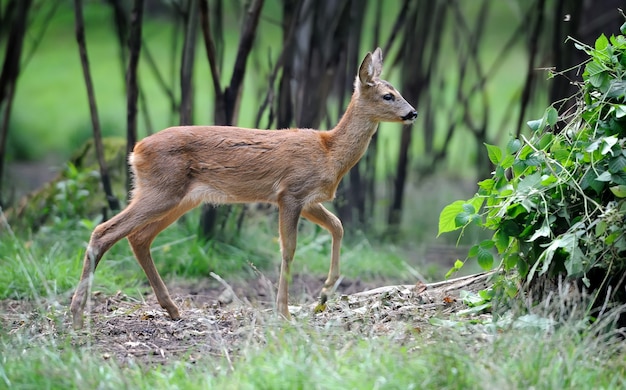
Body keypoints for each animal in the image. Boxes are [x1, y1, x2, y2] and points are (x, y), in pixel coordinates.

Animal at [68, 48, 414, 330]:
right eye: (388, 95)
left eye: (399, 92)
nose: (413, 113)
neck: (329, 152)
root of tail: (135, 150)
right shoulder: (290, 193)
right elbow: (288, 249)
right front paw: (284, 312)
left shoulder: (309, 200)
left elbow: (338, 226)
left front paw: (325, 294)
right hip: (161, 191)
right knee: (104, 231)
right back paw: (77, 314)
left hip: (178, 198)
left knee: (138, 238)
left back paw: (172, 310)